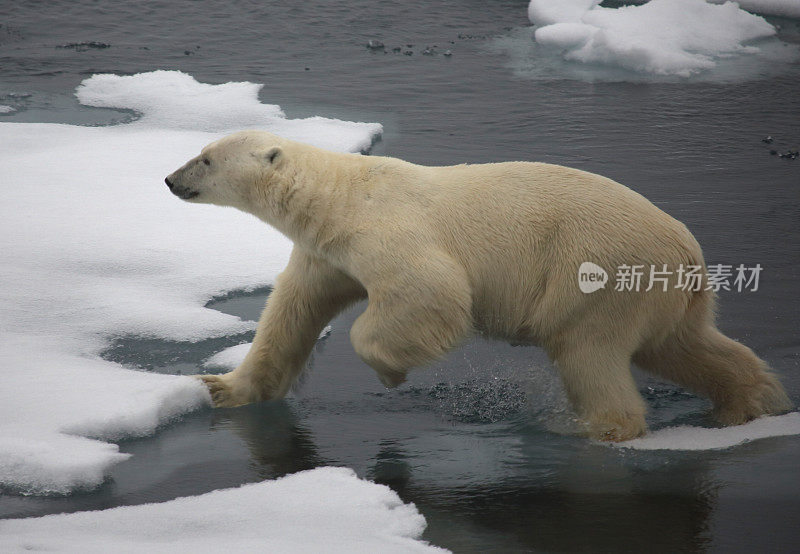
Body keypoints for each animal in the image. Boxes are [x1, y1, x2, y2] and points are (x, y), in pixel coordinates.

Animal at [166, 130, 792, 440]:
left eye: (205, 158)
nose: (171, 178)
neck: (339, 198)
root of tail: (687, 253)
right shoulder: (326, 255)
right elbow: (289, 316)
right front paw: (220, 386)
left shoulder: (387, 230)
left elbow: (433, 291)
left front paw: (390, 371)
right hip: (667, 296)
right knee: (686, 346)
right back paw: (750, 403)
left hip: (599, 277)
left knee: (588, 352)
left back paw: (592, 428)